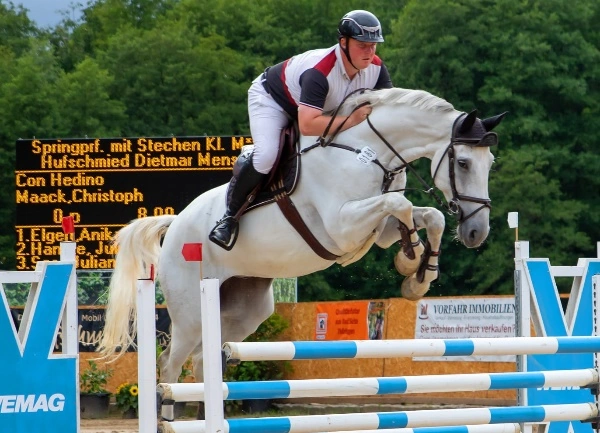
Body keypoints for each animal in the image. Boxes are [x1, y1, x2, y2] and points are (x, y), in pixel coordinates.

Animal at [98, 87, 506, 416]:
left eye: (489, 163)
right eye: (463, 162)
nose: (476, 232)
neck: (369, 153)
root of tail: (176, 223)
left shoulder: (379, 229)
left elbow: (425, 215)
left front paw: (419, 274)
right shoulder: (342, 226)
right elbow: (401, 206)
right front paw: (411, 261)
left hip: (243, 310)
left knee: (203, 360)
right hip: (191, 311)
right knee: (170, 364)